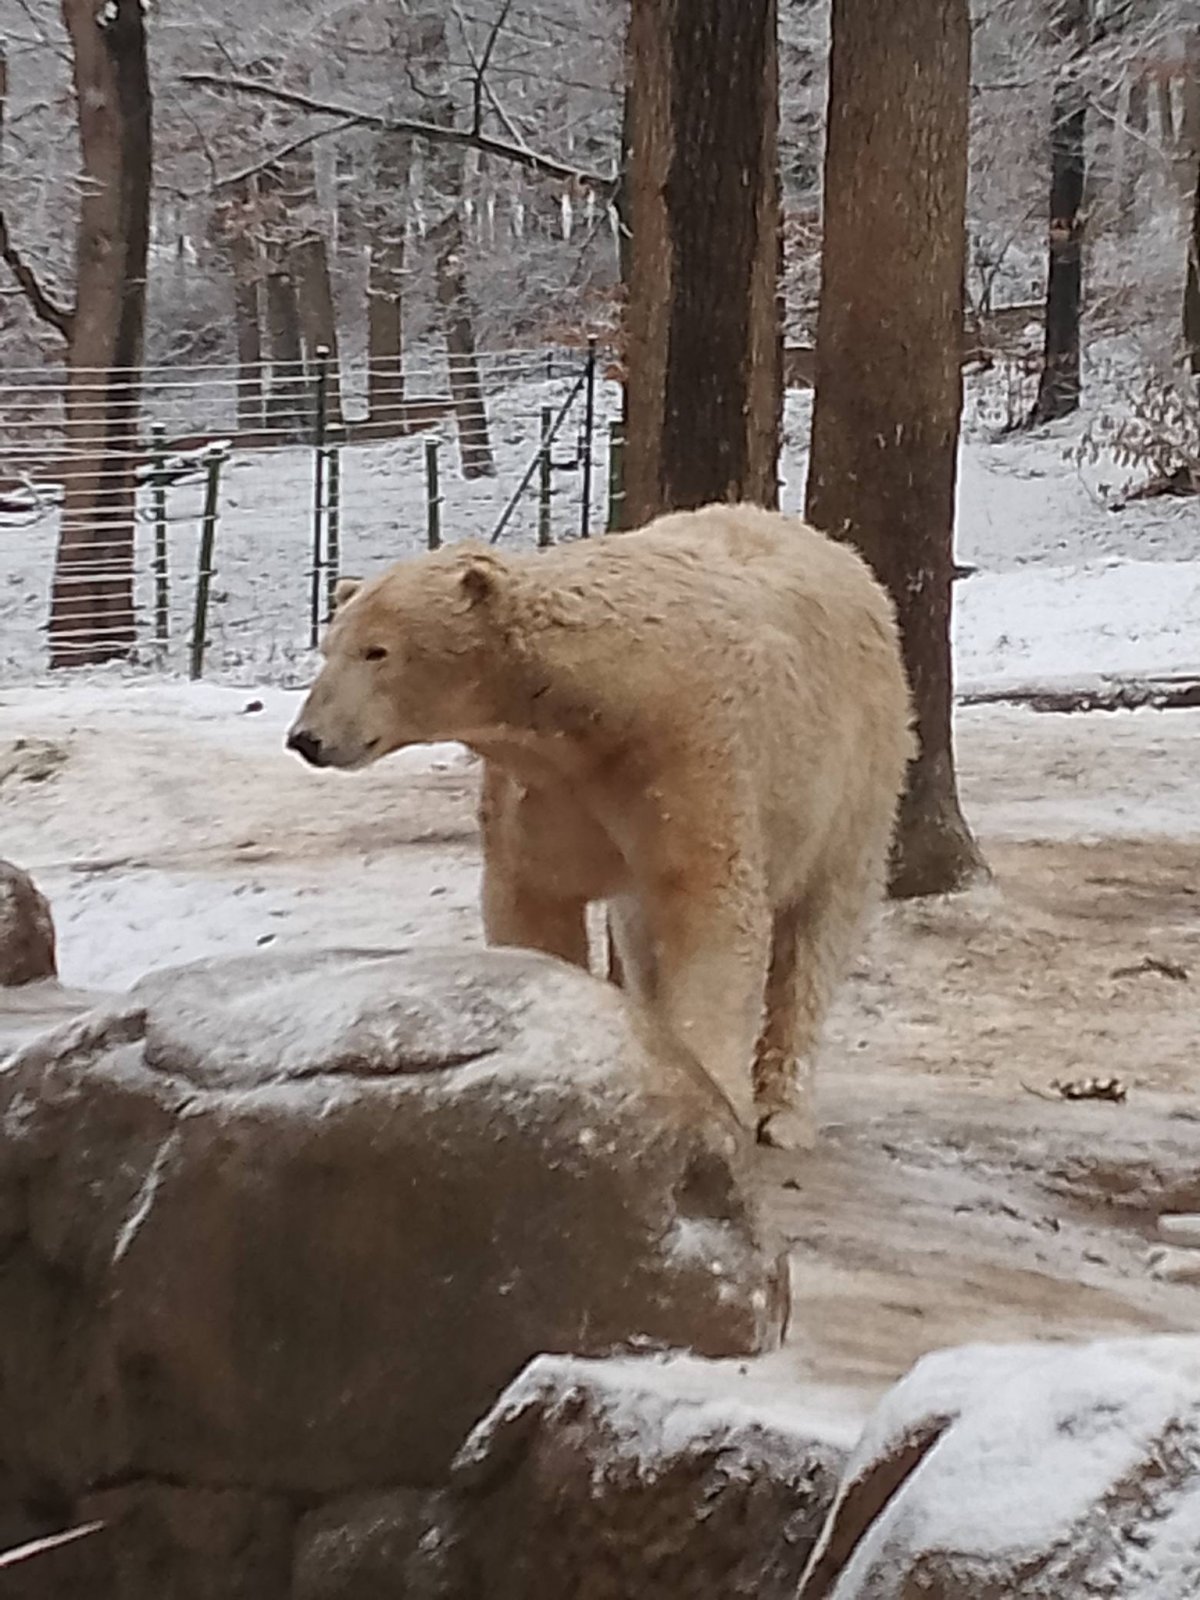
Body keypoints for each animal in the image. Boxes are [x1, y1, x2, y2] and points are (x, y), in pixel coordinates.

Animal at [287, 503, 914, 1148]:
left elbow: (710, 913)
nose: (306, 738)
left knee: (818, 933)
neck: (604, 695)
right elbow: (535, 902)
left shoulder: (690, 757)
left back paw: (782, 1112)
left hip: (856, 771)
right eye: (328, 647)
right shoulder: (543, 790)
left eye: (377, 651)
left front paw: (713, 1103)